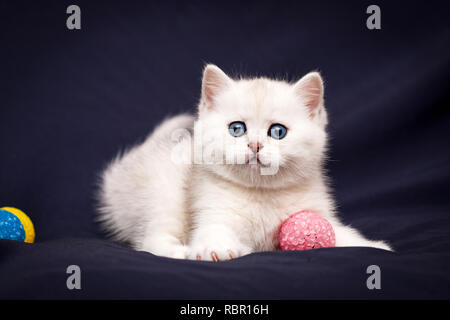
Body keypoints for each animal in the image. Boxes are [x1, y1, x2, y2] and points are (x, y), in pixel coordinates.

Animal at [96, 64, 392, 260]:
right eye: (237, 129)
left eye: (278, 131)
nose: (255, 145)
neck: (262, 194)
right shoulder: (211, 211)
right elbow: (213, 232)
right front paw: (216, 249)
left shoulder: (316, 212)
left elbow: (341, 233)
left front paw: (374, 247)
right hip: (162, 191)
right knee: (151, 241)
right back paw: (183, 252)